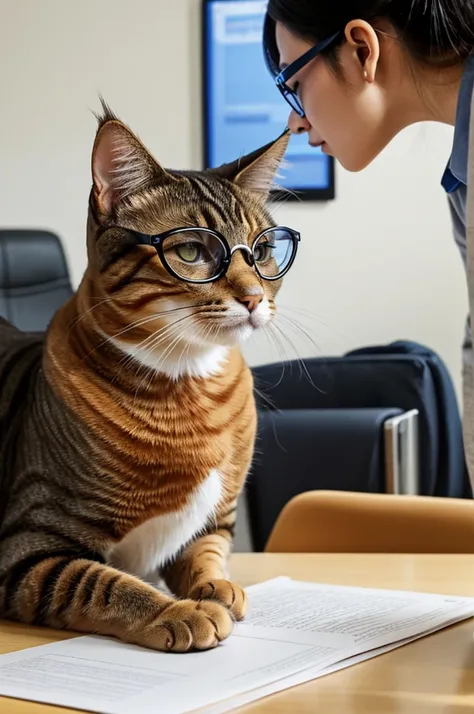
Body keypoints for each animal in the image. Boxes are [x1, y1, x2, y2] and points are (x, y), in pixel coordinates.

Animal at [0, 101, 296, 652]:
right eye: (192, 252)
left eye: (263, 251)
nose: (253, 298)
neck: (191, 386)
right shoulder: (29, 545)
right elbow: (102, 582)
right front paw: (176, 611)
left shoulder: (212, 523)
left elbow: (205, 554)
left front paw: (217, 587)